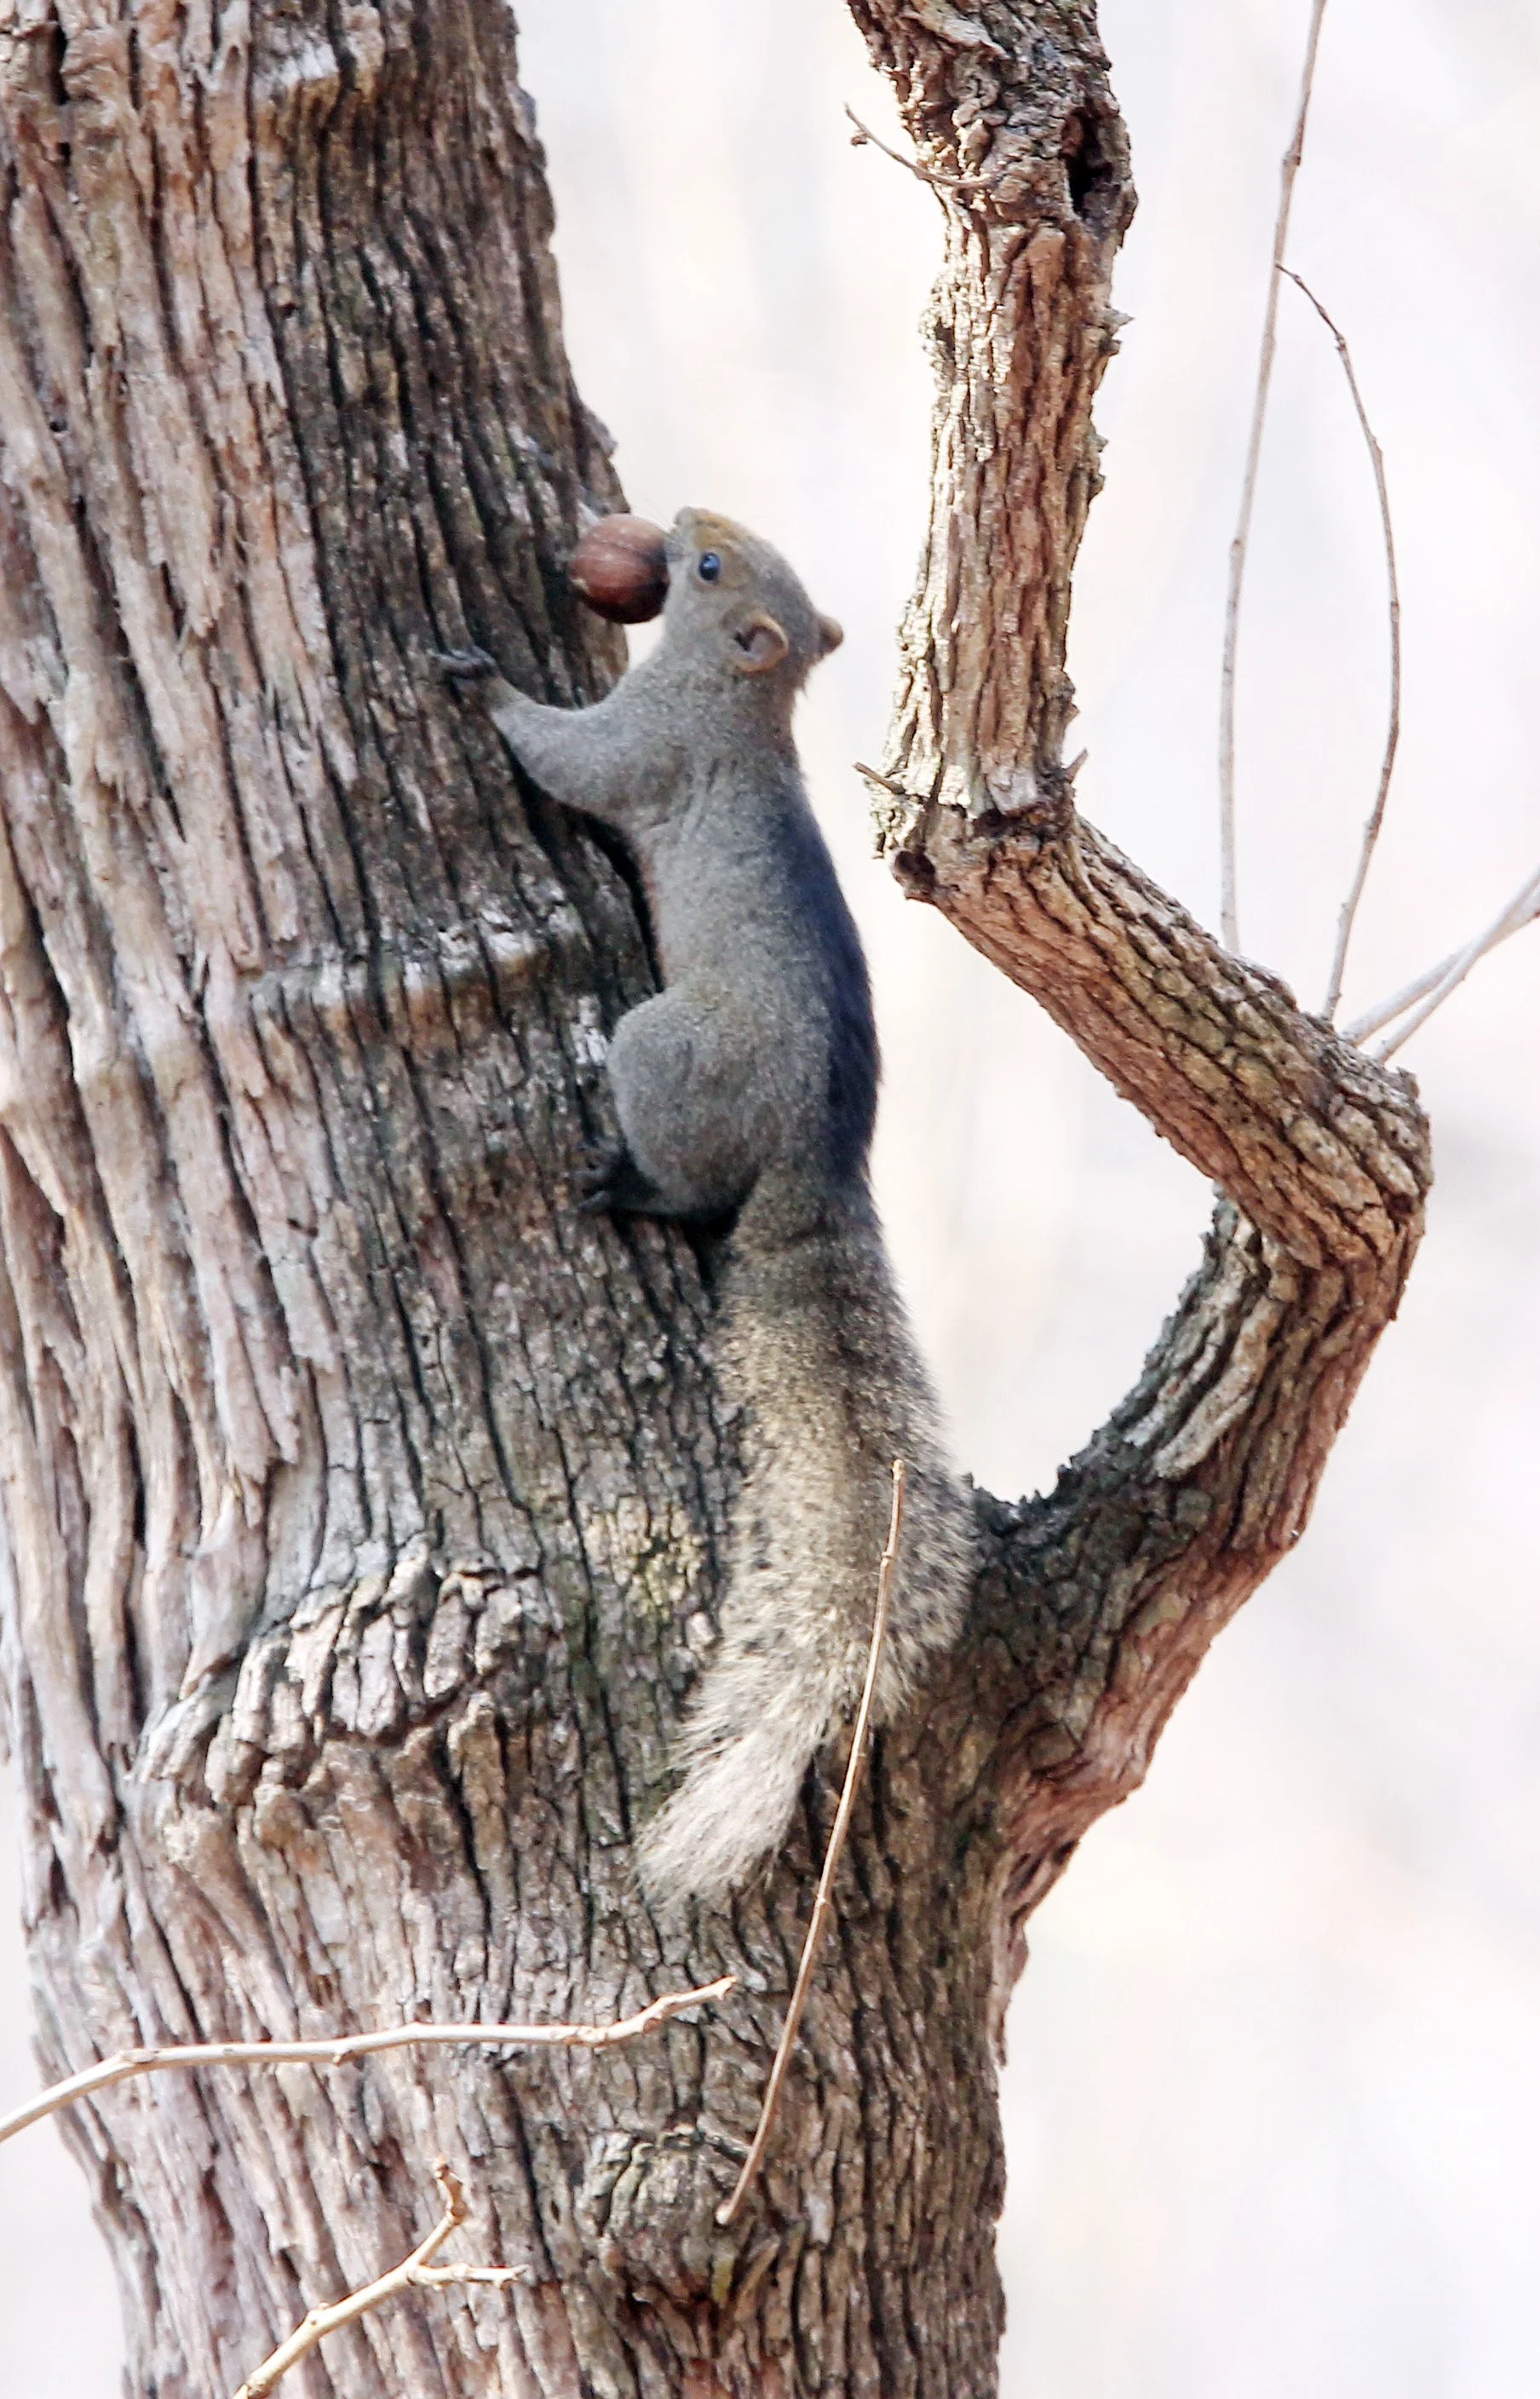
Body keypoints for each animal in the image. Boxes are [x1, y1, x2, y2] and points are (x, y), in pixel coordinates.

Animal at [441, 508, 970, 1906]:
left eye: (714, 571)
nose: (684, 522)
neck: (738, 696)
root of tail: (819, 1150)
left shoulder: (644, 745)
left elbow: (563, 755)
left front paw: (480, 678)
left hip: (664, 1050)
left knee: (689, 1191)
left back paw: (629, 1183)